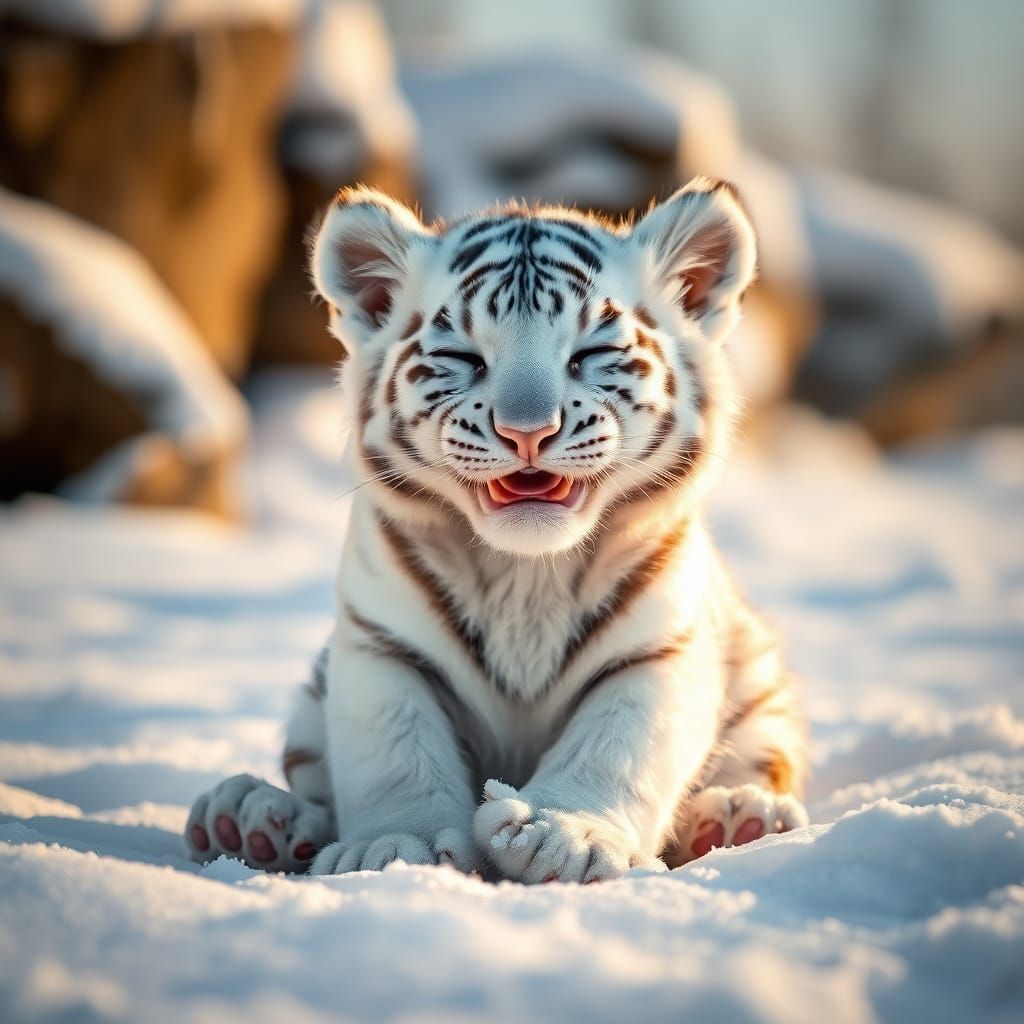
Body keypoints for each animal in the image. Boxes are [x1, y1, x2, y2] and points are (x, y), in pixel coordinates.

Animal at [184, 177, 809, 883]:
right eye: (464, 358)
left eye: (591, 354)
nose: (527, 431)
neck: (527, 573)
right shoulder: (382, 646)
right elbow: (396, 753)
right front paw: (398, 848)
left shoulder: (660, 649)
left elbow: (616, 744)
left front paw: (564, 837)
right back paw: (251, 818)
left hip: (759, 680)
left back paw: (739, 817)